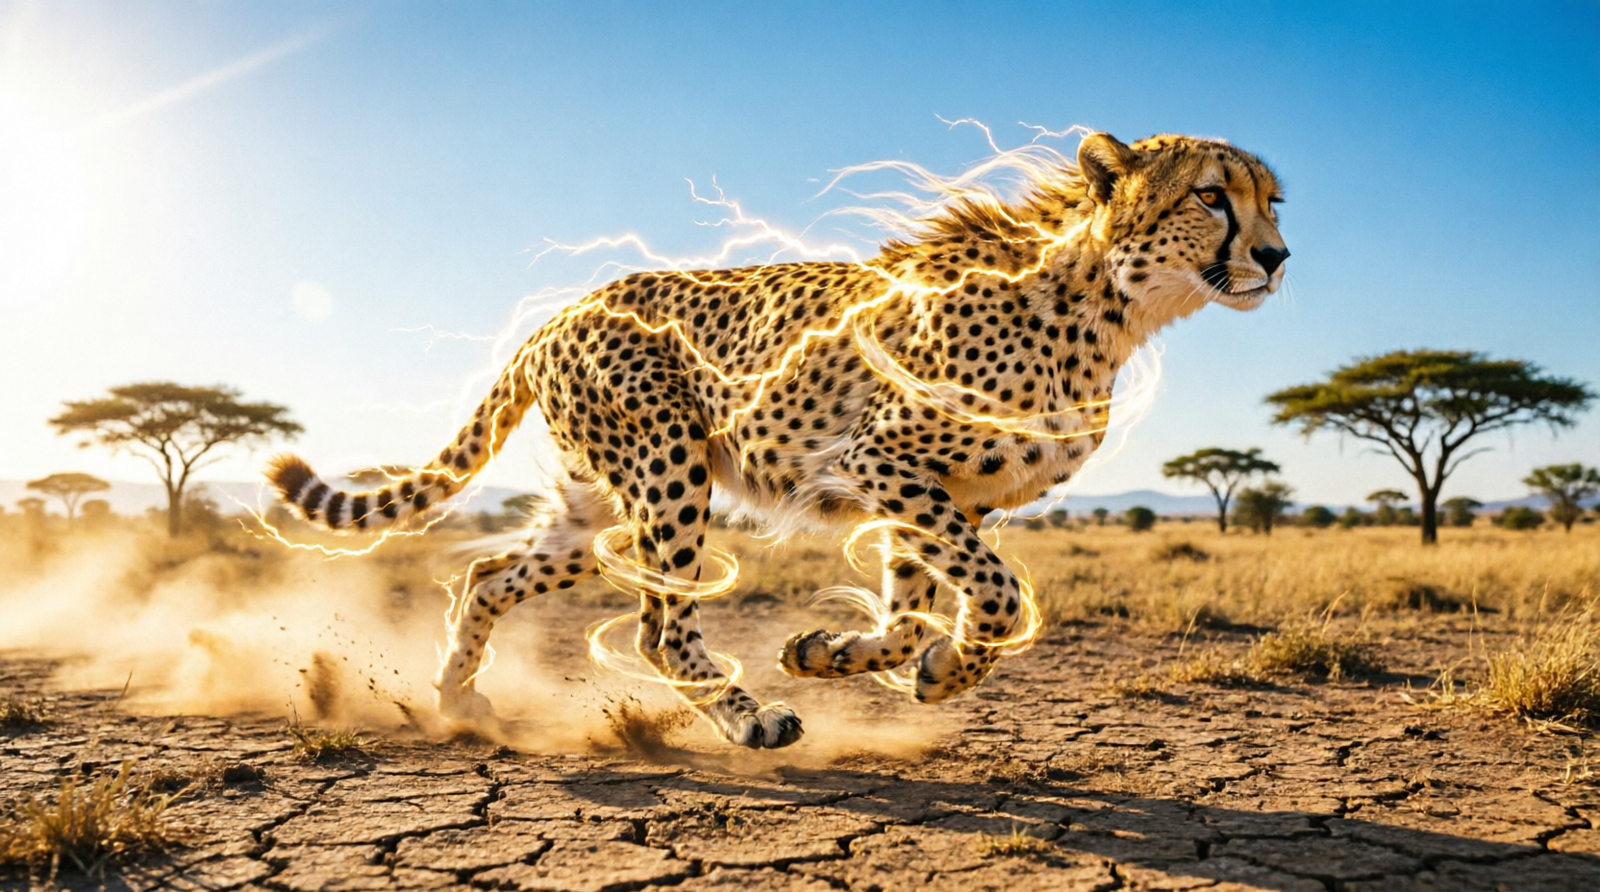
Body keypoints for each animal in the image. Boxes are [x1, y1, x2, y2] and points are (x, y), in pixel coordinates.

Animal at [266, 131, 1288, 749]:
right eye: (1211, 197)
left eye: (1273, 201)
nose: (1277, 257)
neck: (1109, 307)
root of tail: (558, 313)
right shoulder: (884, 460)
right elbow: (997, 598)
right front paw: (935, 664)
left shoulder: (945, 494)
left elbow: (914, 611)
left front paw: (859, 658)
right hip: (669, 468)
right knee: (658, 626)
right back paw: (748, 721)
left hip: (599, 508)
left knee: (488, 572)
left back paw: (455, 699)